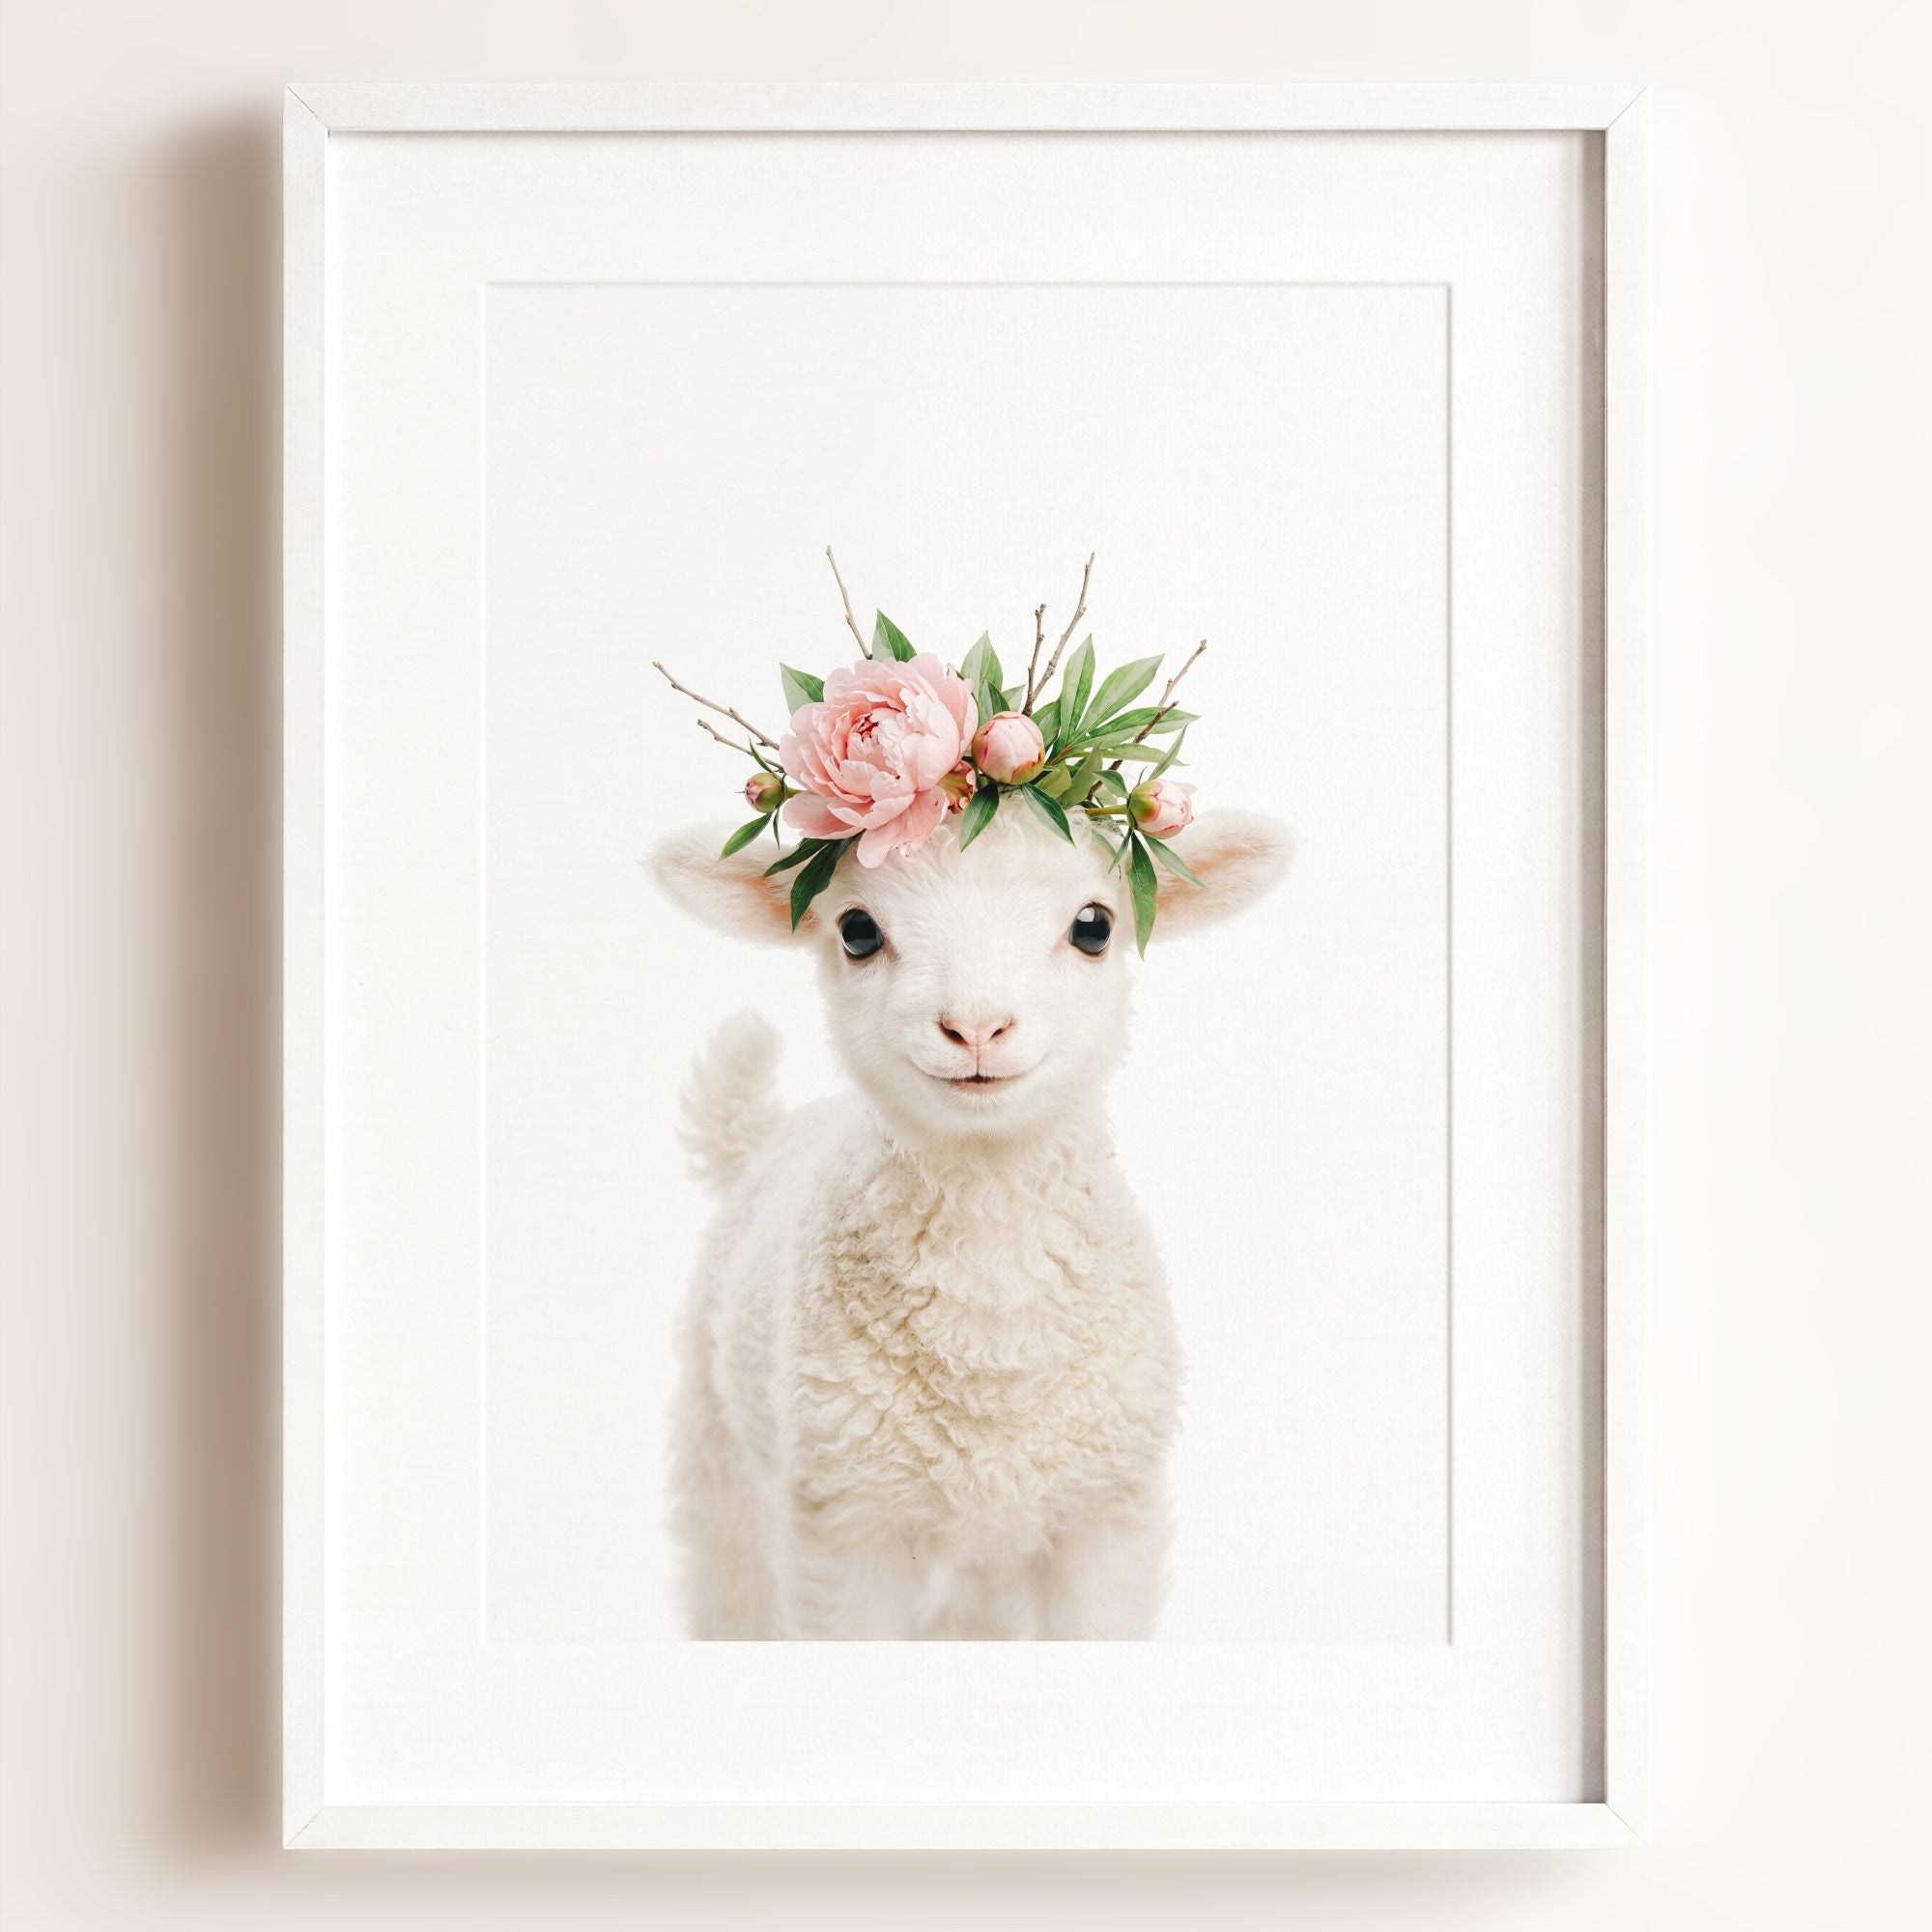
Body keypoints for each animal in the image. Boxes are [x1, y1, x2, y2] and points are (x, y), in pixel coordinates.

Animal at [650, 802, 1295, 1639]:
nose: (976, 1027)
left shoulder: (1106, 1515)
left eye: (1094, 927)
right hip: (721, 1456)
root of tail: (763, 1134)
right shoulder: (845, 1525)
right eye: (858, 931)